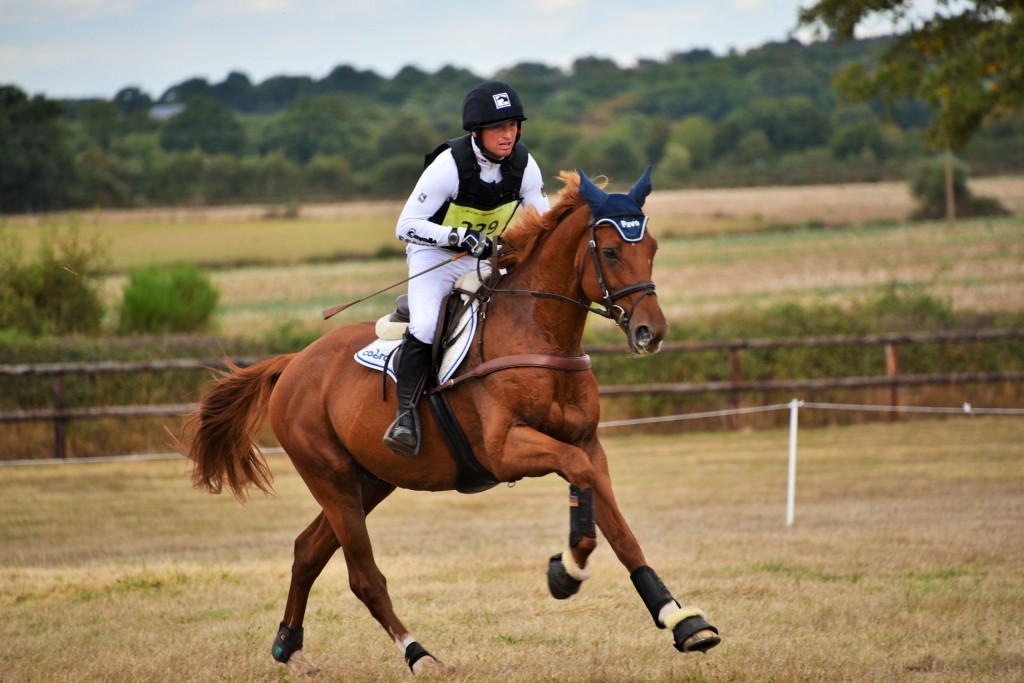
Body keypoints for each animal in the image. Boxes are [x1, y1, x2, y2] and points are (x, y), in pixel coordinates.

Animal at [178, 167, 720, 675]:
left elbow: (622, 533)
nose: (651, 332)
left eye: (651, 248)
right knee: (363, 575)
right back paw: (419, 654)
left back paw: (290, 648)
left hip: (370, 480)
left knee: (308, 550)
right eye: (609, 251)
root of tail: (293, 362)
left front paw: (683, 621)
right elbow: (579, 485)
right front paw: (565, 573)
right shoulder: (507, 452)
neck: (539, 333)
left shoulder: (588, 444)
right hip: (330, 477)